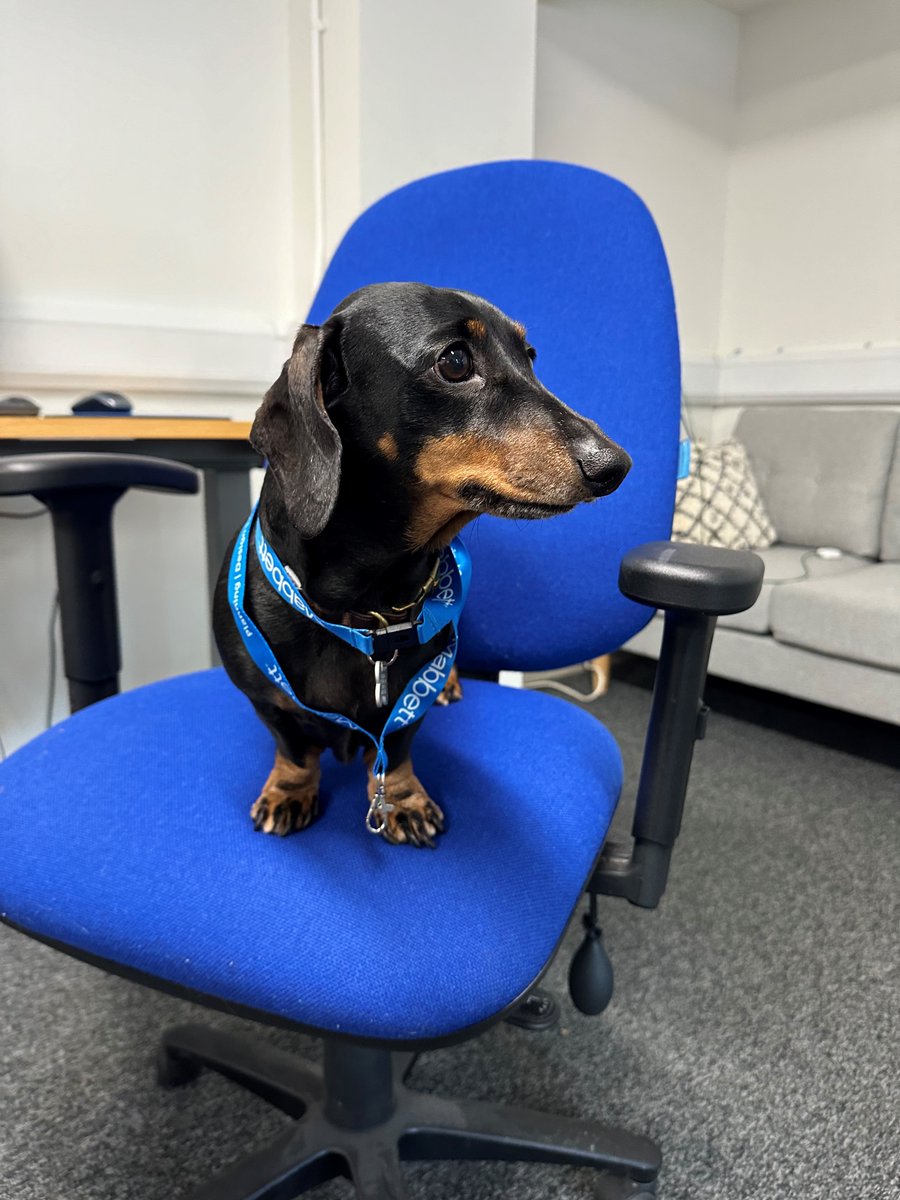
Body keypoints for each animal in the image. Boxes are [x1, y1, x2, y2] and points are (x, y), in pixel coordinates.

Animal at [213, 282, 628, 849]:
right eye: (454, 361)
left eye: (530, 356)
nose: (617, 466)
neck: (363, 613)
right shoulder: (264, 699)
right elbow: (292, 746)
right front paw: (290, 790)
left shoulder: (412, 700)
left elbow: (396, 750)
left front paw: (402, 800)